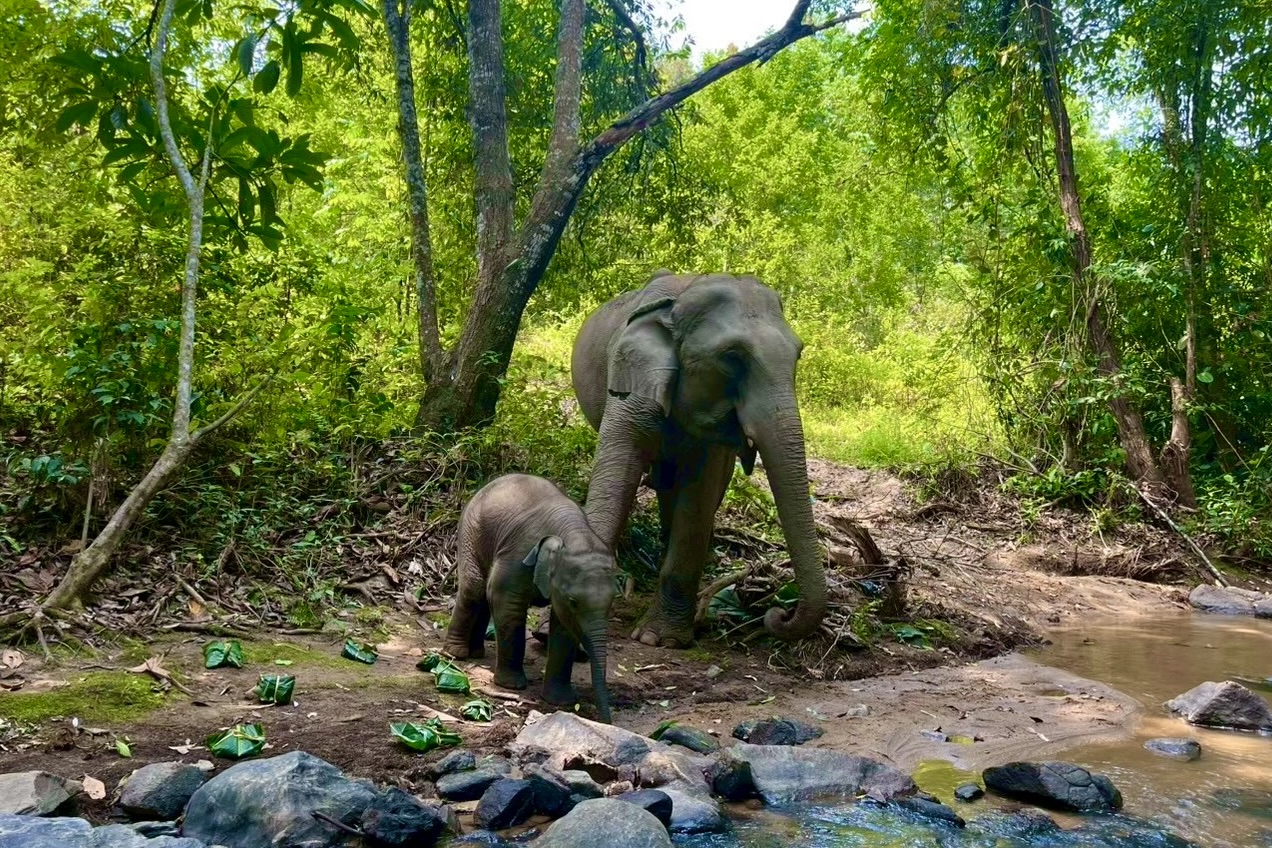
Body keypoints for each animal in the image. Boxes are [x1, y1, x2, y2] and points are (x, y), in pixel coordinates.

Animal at [444, 473, 616, 723]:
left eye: (611, 603)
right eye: (574, 601)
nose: (606, 720)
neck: (573, 532)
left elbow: (563, 626)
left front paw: (561, 701)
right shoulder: (517, 554)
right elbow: (505, 602)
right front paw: (511, 686)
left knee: (482, 596)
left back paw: (476, 652)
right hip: (470, 531)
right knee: (474, 588)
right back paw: (455, 653)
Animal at [571, 271, 826, 648]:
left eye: (798, 354)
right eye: (732, 356)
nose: (778, 614)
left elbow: (698, 497)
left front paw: (660, 640)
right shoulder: (628, 384)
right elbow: (615, 475)